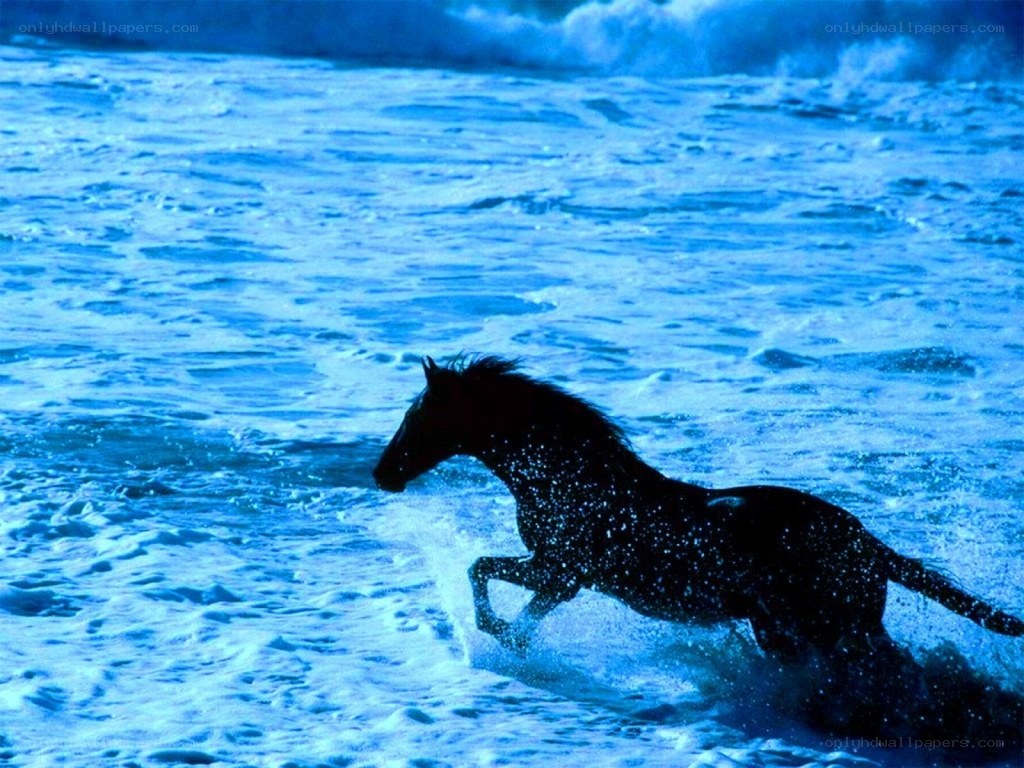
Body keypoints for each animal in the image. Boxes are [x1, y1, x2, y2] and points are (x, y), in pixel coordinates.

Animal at [372, 355, 1024, 662]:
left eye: (418, 417)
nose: (381, 474)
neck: (566, 478)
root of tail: (868, 543)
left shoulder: (562, 571)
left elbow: (480, 569)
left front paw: (498, 634)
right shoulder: (564, 579)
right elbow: (498, 583)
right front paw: (513, 638)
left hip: (823, 629)